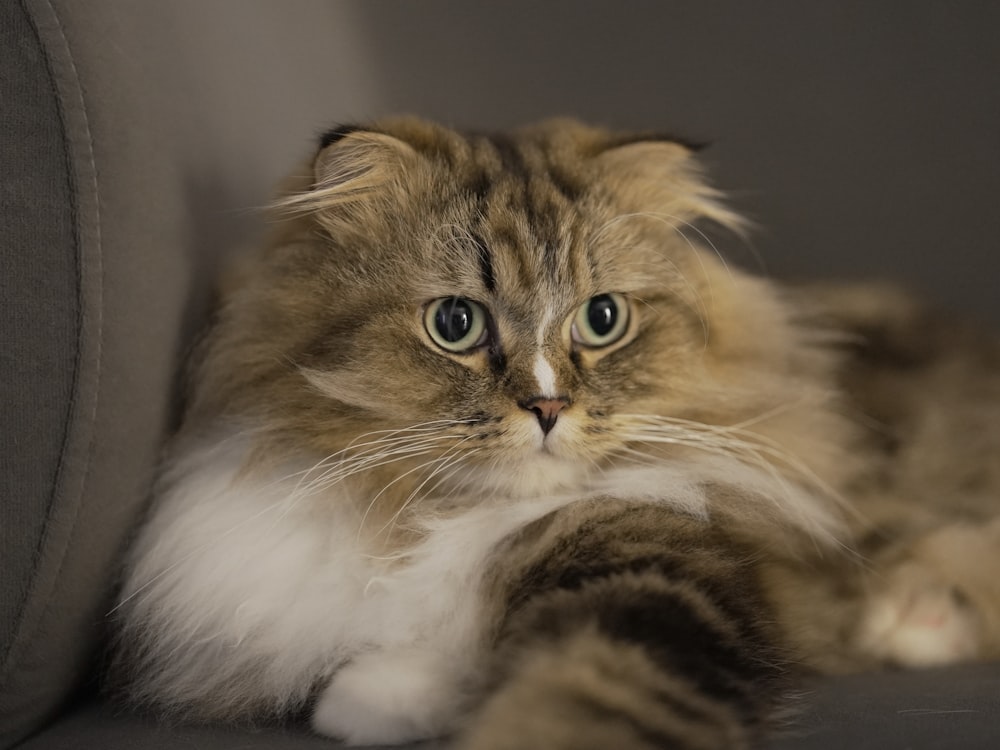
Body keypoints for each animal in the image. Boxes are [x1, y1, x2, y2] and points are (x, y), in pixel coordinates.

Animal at [109, 119, 1000, 750]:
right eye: (455, 323)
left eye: (602, 319)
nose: (547, 406)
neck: (447, 516)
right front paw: (377, 701)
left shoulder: (659, 565)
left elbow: (575, 694)